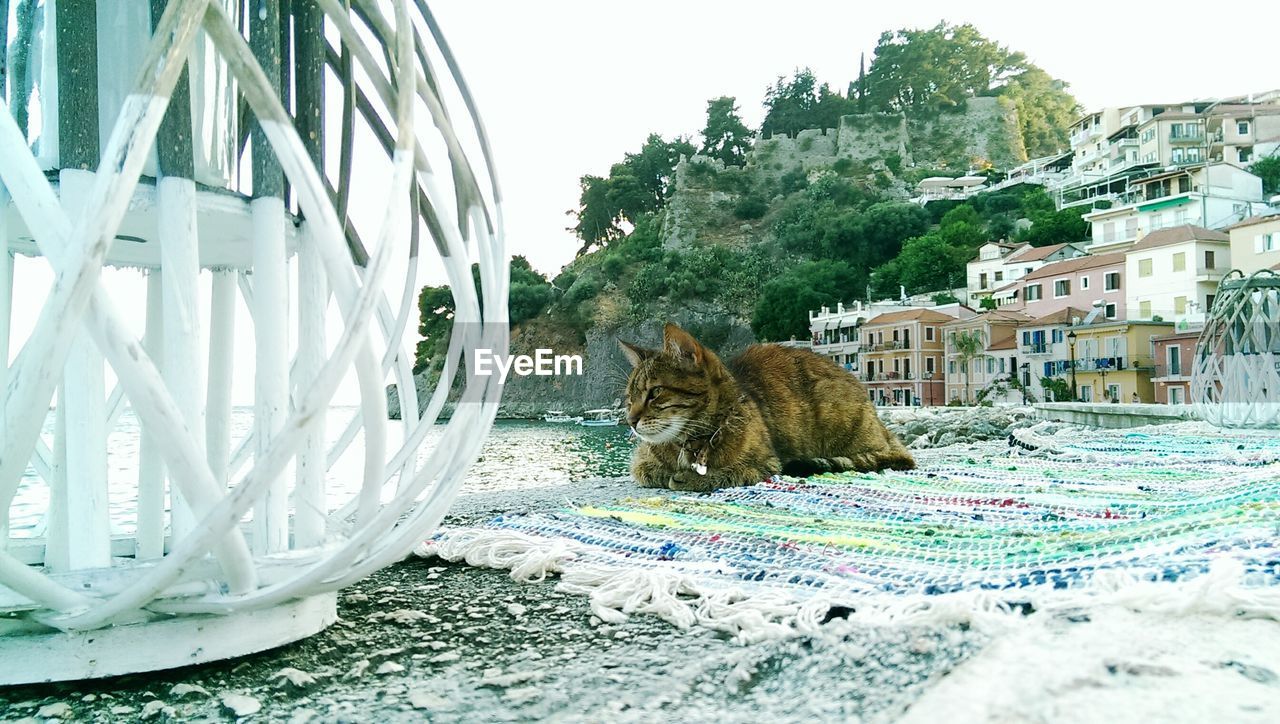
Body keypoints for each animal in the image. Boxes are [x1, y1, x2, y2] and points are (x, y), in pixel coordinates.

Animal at [622, 323, 916, 493]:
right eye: (629, 398)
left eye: (655, 392)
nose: (630, 421)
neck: (690, 441)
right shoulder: (640, 461)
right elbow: (648, 470)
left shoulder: (765, 463)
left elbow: (730, 472)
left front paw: (693, 478)